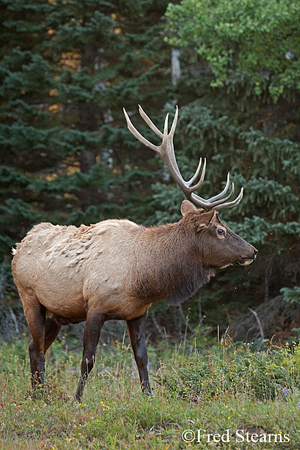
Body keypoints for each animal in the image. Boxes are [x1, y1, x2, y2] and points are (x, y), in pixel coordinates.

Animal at [10, 106, 256, 400]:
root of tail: (19, 246)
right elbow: (88, 359)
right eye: (220, 230)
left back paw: (38, 394)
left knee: (34, 347)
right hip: (29, 298)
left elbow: (142, 357)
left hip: (57, 312)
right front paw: (77, 399)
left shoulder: (138, 312)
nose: (252, 250)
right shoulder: (95, 306)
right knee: (37, 348)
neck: (142, 277)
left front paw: (148, 396)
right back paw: (40, 395)